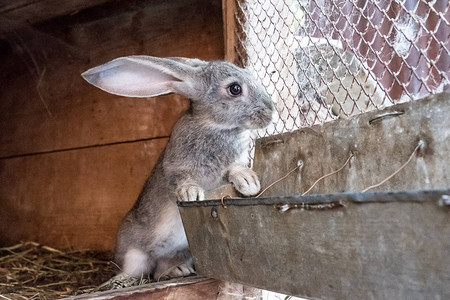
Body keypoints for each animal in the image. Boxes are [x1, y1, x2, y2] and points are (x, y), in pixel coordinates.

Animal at [82, 56, 276, 282]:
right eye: (235, 88)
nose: (271, 112)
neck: (215, 126)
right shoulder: (175, 167)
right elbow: (181, 180)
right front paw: (191, 194)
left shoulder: (233, 164)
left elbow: (234, 169)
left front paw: (248, 183)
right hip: (134, 253)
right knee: (137, 270)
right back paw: (118, 280)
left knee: (159, 271)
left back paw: (177, 270)